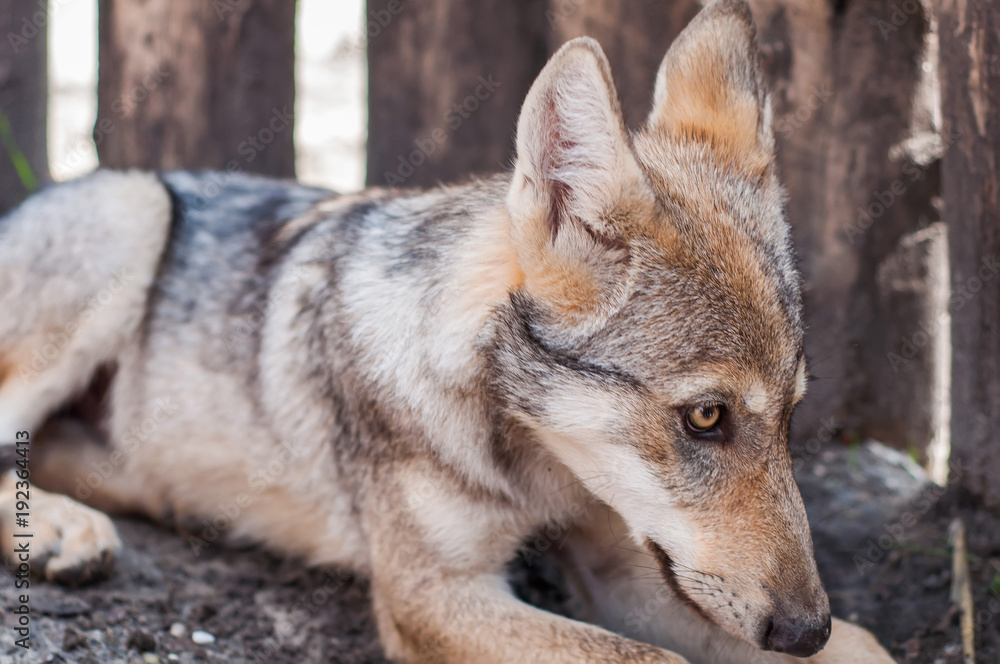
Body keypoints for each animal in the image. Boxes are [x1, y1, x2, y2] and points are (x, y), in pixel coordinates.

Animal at [0, 1, 895, 661]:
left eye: (792, 416)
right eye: (706, 418)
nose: (802, 630)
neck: (534, 464)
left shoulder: (626, 565)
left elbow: (866, 643)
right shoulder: (433, 594)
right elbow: (646, 656)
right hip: (131, 215)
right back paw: (57, 529)